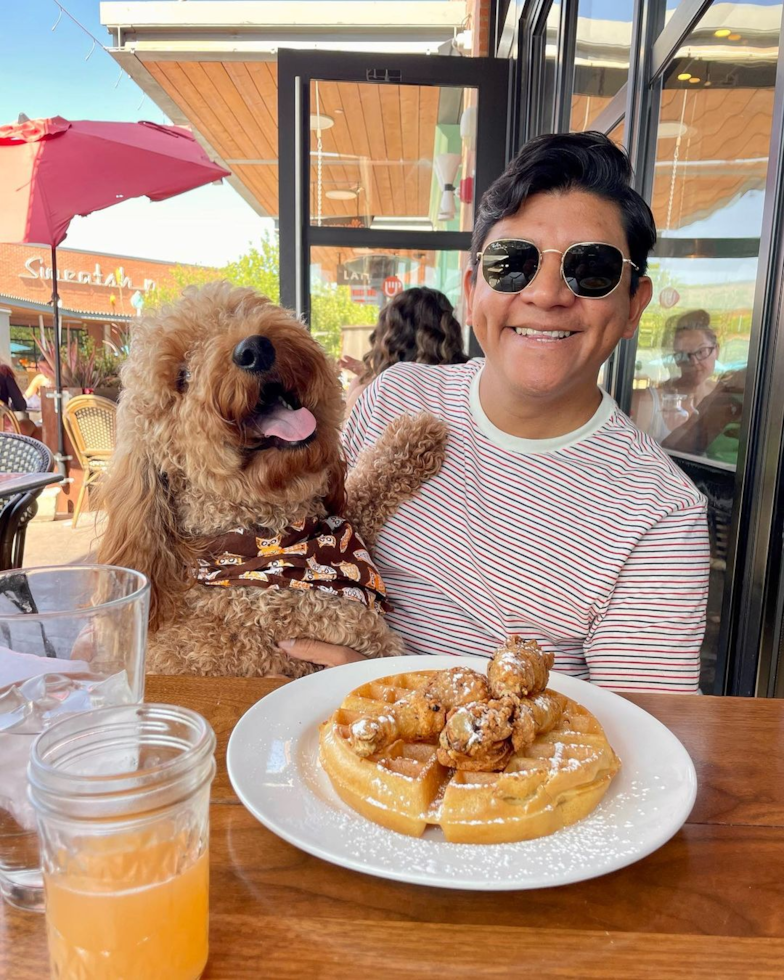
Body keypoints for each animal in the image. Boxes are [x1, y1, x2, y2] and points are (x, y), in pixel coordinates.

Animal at [98, 280, 448, 676]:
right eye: (181, 378)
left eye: (239, 311)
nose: (254, 349)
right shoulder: (357, 633)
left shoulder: (338, 516)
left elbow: (361, 490)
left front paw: (413, 438)